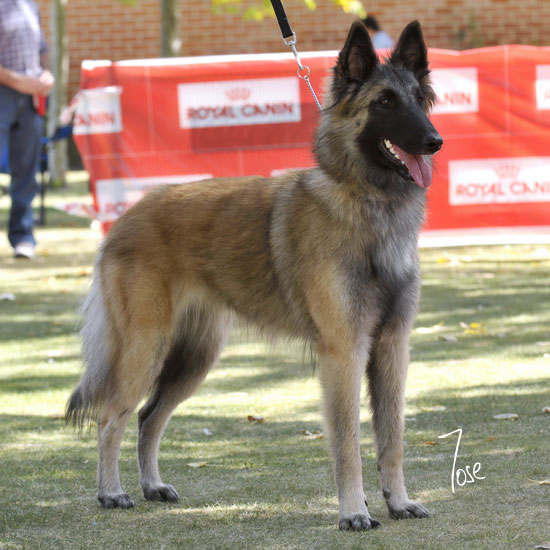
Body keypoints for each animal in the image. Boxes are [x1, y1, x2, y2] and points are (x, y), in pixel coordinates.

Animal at [66, 20, 442, 531]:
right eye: (385, 102)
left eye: (419, 100)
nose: (434, 141)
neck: (366, 205)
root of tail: (124, 217)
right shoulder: (343, 352)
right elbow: (348, 442)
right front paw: (353, 511)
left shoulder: (391, 348)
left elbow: (392, 437)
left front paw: (398, 501)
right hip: (147, 347)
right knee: (112, 417)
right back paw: (112, 492)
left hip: (193, 358)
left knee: (148, 418)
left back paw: (152, 486)